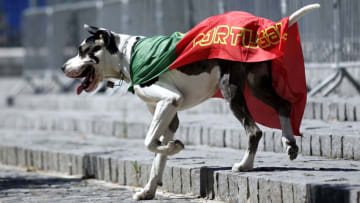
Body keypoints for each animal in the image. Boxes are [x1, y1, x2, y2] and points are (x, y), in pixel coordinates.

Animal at [62, 3, 320, 200]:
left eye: (82, 50)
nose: (63, 67)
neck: (128, 54)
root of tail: (259, 30)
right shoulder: (168, 114)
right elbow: (157, 159)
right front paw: (148, 190)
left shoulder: (169, 100)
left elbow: (149, 142)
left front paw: (175, 147)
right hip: (258, 86)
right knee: (284, 105)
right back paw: (289, 142)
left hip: (231, 90)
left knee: (254, 131)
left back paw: (244, 165)